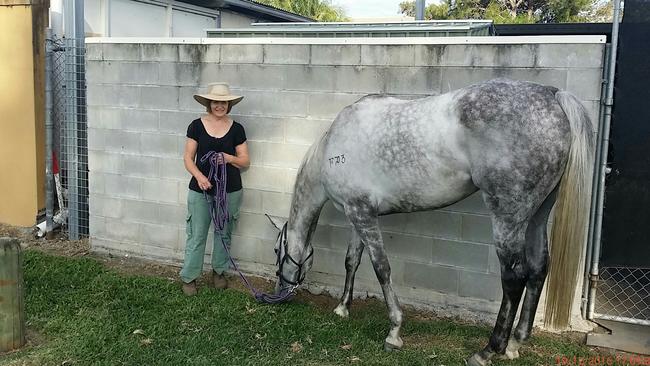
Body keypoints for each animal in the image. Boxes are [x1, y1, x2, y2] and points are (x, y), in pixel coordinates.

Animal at [268, 78, 592, 364]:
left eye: (276, 251)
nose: (280, 294)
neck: (332, 147)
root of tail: (551, 94)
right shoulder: (358, 214)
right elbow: (352, 261)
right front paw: (342, 308)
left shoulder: (362, 215)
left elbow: (381, 269)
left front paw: (394, 332)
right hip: (537, 216)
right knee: (538, 269)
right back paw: (515, 344)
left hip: (508, 218)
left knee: (514, 278)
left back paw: (488, 351)